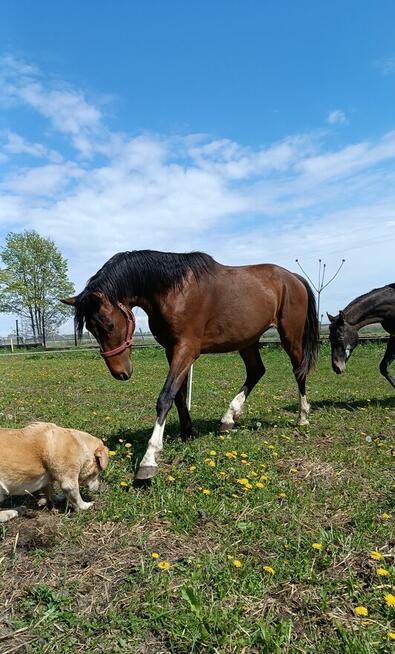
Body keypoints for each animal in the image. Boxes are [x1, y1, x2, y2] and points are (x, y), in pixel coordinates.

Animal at [63, 251, 320, 482]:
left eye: (108, 324)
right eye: (91, 328)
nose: (120, 373)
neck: (173, 291)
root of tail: (293, 277)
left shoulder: (186, 349)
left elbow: (166, 396)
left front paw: (149, 458)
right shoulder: (172, 350)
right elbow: (178, 395)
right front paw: (188, 432)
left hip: (290, 336)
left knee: (299, 371)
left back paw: (302, 417)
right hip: (248, 341)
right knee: (256, 371)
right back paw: (229, 418)